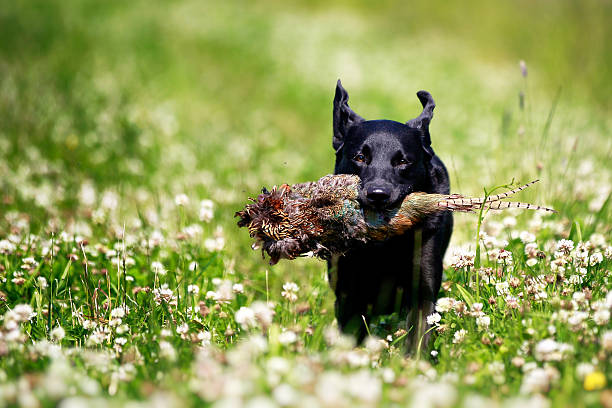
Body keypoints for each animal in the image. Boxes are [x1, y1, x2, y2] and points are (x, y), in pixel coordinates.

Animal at [328, 79, 452, 350]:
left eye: (403, 161)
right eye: (360, 157)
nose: (377, 194)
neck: (383, 246)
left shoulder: (422, 291)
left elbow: (419, 337)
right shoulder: (348, 293)